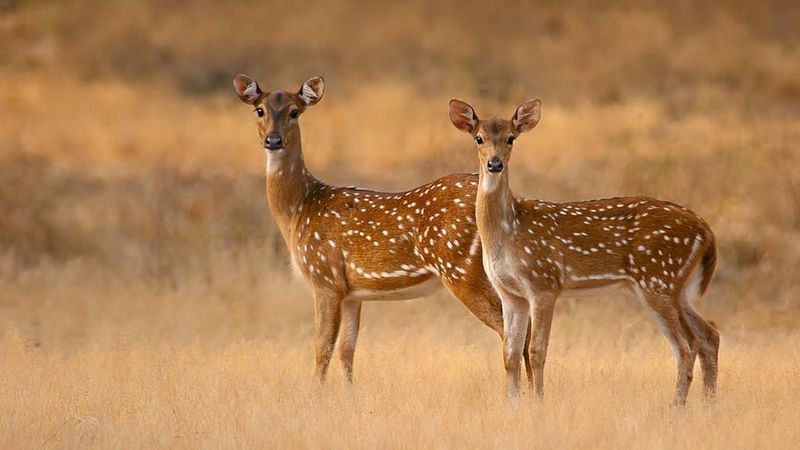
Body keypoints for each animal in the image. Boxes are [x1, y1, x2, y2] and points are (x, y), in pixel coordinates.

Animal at [230, 75, 532, 384]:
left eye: (294, 112)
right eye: (260, 110)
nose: (273, 140)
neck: (299, 210)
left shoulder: (325, 278)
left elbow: (322, 349)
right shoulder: (352, 293)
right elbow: (347, 350)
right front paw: (348, 393)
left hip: (462, 268)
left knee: (512, 334)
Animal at [450, 98, 720, 404]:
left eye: (511, 138)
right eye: (478, 138)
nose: (494, 164)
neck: (507, 233)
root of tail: (705, 230)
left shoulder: (544, 282)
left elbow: (537, 351)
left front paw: (539, 403)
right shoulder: (510, 293)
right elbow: (510, 354)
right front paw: (513, 405)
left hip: (658, 278)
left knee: (686, 345)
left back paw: (677, 406)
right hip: (672, 287)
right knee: (708, 334)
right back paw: (708, 404)